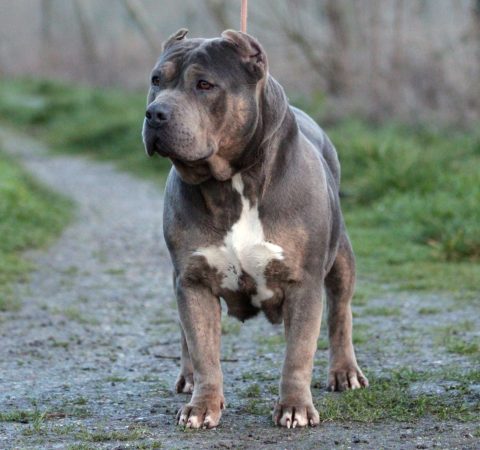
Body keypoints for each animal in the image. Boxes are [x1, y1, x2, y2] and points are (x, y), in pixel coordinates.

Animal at [142, 28, 368, 428]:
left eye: (204, 84)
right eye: (156, 80)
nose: (155, 113)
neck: (230, 183)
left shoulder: (303, 283)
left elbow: (298, 352)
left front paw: (295, 407)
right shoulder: (193, 281)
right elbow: (203, 349)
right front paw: (203, 406)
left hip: (341, 258)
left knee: (340, 312)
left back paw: (344, 372)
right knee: (186, 337)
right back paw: (188, 378)